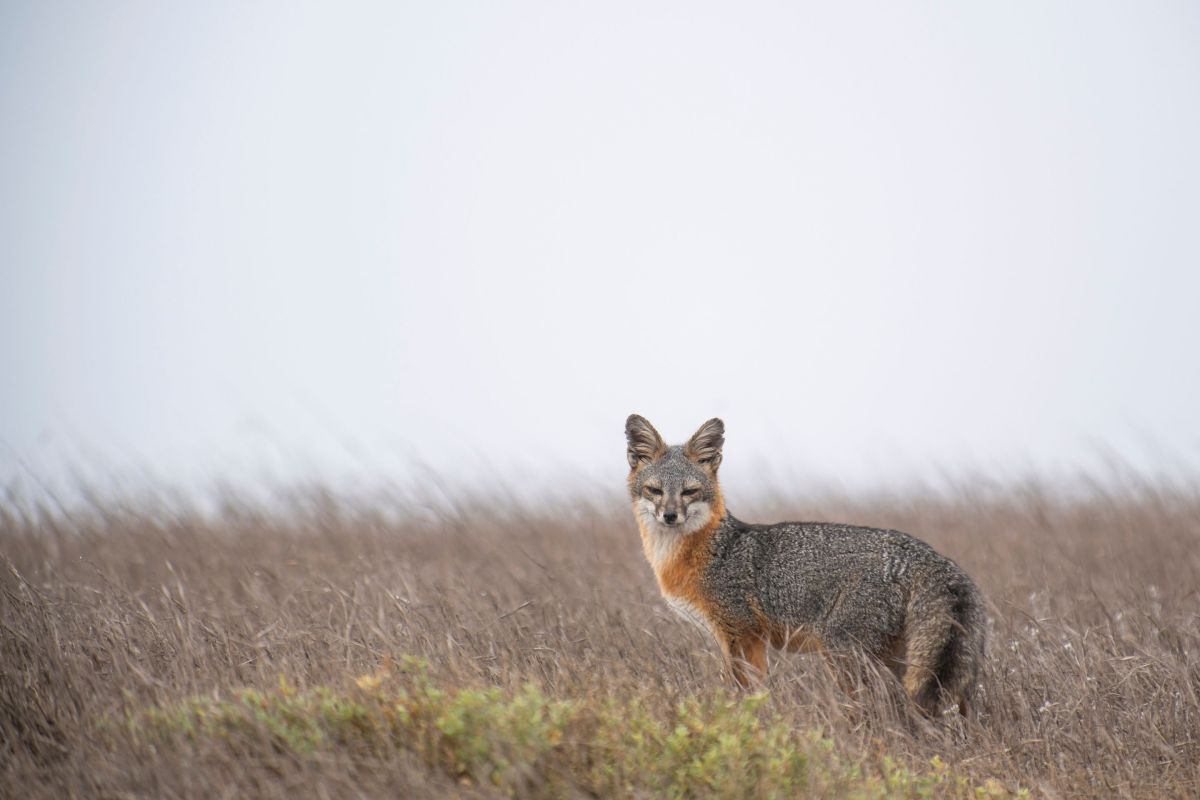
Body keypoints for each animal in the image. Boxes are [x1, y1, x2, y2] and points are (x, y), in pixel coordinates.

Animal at [625, 414, 986, 716]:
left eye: (689, 491)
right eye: (655, 490)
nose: (670, 515)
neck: (706, 550)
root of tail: (926, 553)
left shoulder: (743, 635)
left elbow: (749, 693)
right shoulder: (737, 639)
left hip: (844, 654)